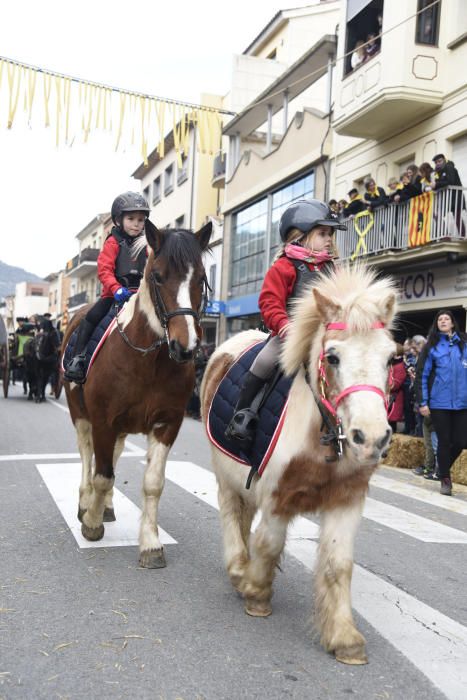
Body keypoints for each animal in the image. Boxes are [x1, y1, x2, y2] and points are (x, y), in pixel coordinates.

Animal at [63, 224, 212, 568]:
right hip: (80, 414)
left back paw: (105, 505)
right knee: (87, 456)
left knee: (112, 456)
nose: (186, 347)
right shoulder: (103, 420)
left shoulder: (167, 423)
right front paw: (91, 524)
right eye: (157, 276)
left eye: (200, 277)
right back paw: (86, 502)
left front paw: (151, 544)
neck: (149, 359)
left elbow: (153, 483)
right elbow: (102, 474)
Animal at [201, 268, 398, 668]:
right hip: (224, 472)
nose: (370, 438)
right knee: (230, 512)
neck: (323, 434)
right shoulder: (279, 495)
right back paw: (238, 567)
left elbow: (339, 563)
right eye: (333, 357)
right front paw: (256, 593)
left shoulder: (347, 500)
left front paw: (344, 638)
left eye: (391, 359)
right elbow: (269, 542)